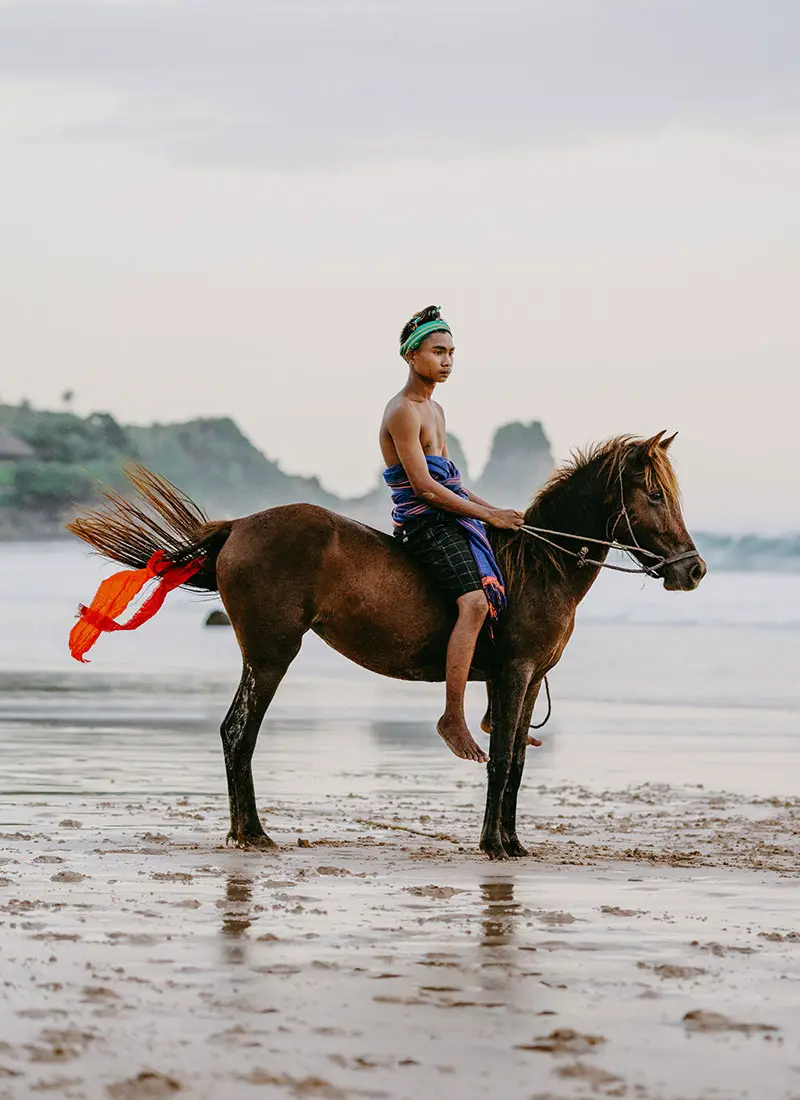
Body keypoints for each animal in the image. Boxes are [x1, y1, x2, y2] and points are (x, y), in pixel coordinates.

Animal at [68, 430, 706, 860]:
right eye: (653, 494)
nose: (693, 570)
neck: (540, 566)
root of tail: (240, 527)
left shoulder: (528, 680)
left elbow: (519, 763)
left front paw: (513, 843)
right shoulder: (515, 672)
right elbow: (501, 760)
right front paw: (492, 845)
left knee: (235, 733)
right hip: (272, 654)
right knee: (237, 733)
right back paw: (251, 833)